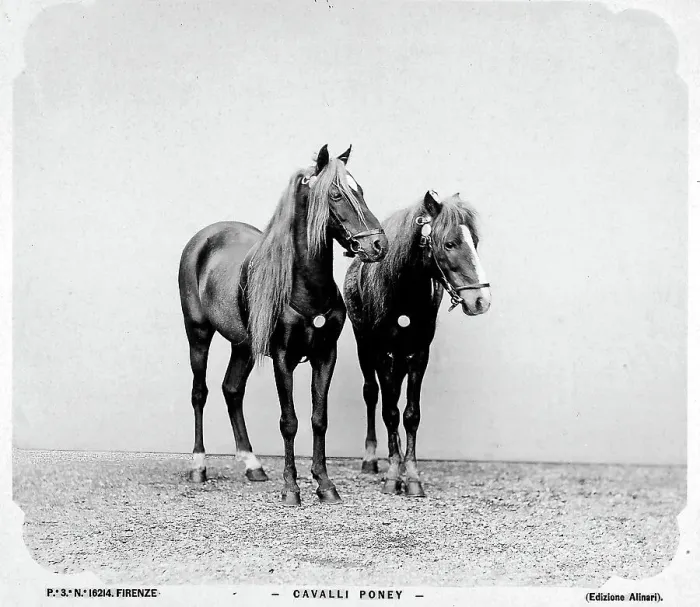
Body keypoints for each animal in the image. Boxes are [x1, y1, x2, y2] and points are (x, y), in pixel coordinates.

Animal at [178, 145, 388, 506]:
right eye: (335, 194)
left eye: (360, 190)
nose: (376, 245)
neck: (305, 287)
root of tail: (203, 239)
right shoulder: (282, 358)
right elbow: (289, 421)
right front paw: (291, 488)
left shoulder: (325, 356)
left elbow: (319, 419)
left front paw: (325, 484)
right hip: (198, 334)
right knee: (199, 394)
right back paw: (198, 466)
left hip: (243, 346)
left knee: (232, 390)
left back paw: (252, 464)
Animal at [343, 190, 491, 497]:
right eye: (449, 243)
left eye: (475, 241)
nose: (481, 300)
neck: (403, 296)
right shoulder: (382, 353)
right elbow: (389, 412)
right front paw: (392, 475)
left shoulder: (419, 354)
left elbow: (410, 415)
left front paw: (410, 475)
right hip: (363, 344)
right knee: (371, 393)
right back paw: (371, 459)